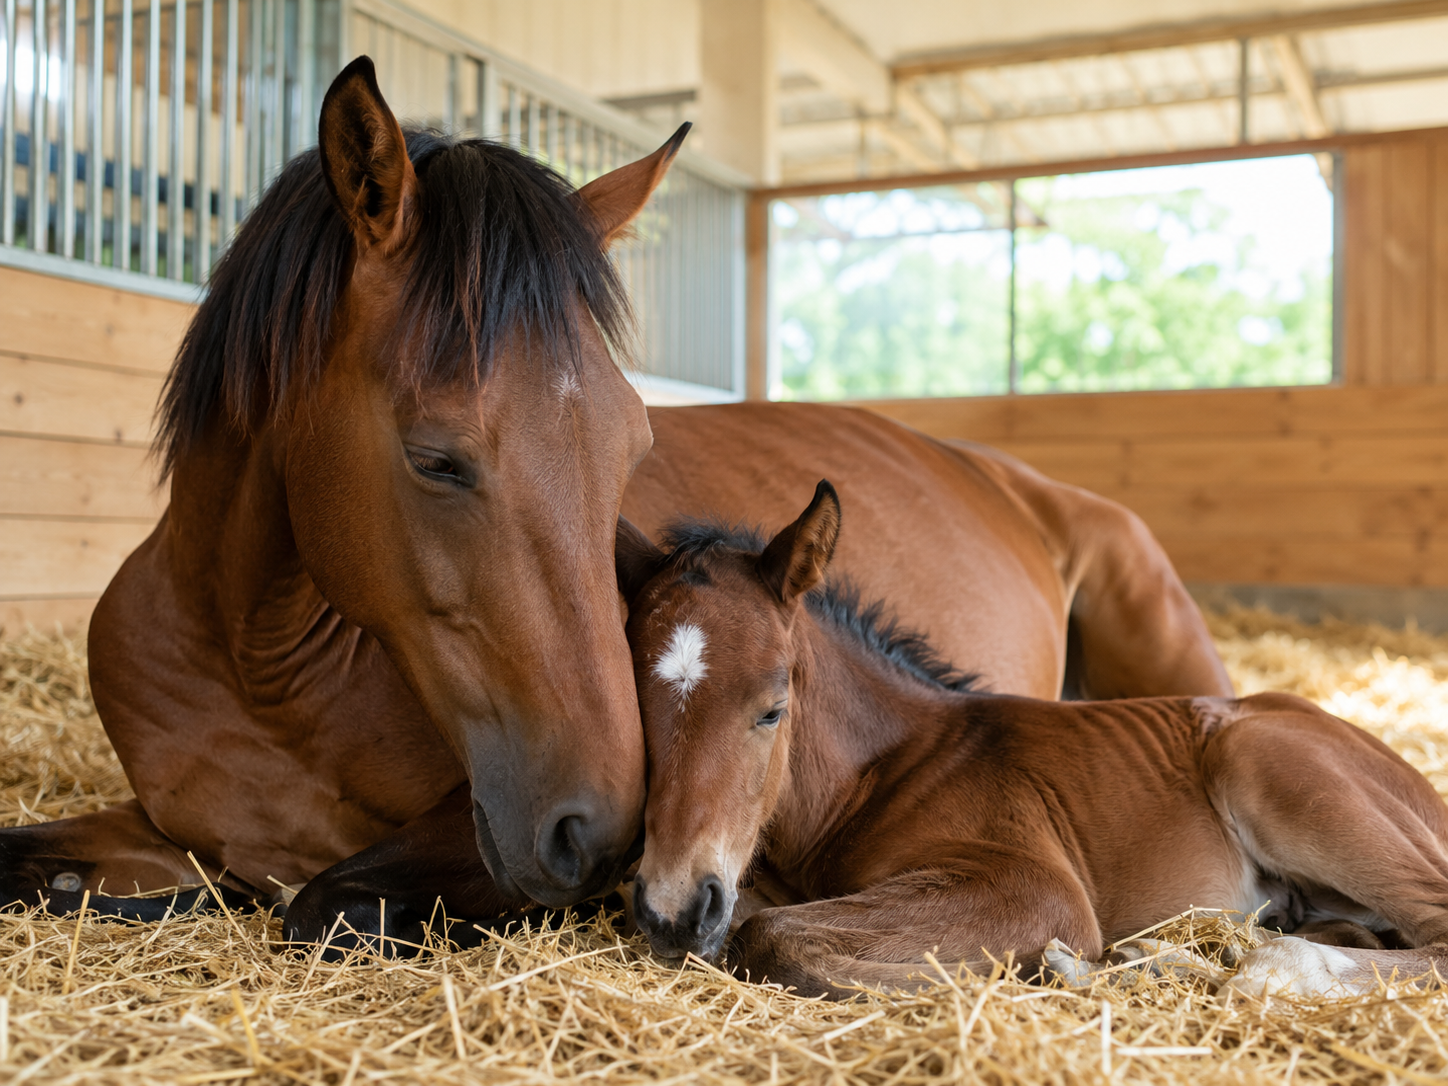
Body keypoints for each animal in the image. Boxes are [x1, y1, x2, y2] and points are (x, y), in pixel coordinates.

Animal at [0, 55, 1234, 949]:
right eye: (435, 458)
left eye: (632, 439)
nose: (598, 829)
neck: (260, 663)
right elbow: (34, 862)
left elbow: (324, 901)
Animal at [615, 481, 1448, 1000]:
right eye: (640, 711)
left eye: (772, 709)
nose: (673, 910)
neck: (877, 775)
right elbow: (758, 919)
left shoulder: (1031, 884)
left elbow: (768, 936)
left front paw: (1032, 972)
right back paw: (1159, 959)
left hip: (1277, 773)